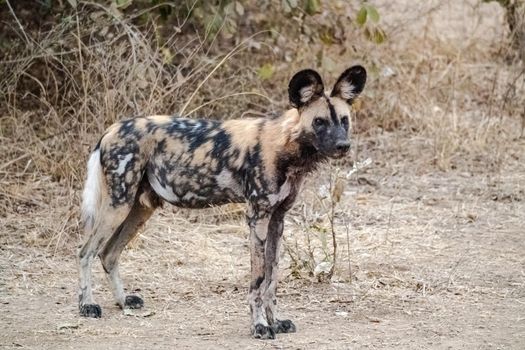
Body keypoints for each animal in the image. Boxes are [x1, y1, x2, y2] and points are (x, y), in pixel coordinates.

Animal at [78, 65, 366, 340]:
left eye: (344, 120)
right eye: (319, 122)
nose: (343, 145)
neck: (287, 147)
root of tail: (111, 129)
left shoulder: (277, 220)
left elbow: (272, 278)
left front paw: (276, 321)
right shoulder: (257, 217)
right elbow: (258, 280)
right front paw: (259, 326)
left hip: (139, 209)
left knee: (108, 254)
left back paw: (122, 301)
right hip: (118, 205)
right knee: (86, 251)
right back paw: (86, 305)